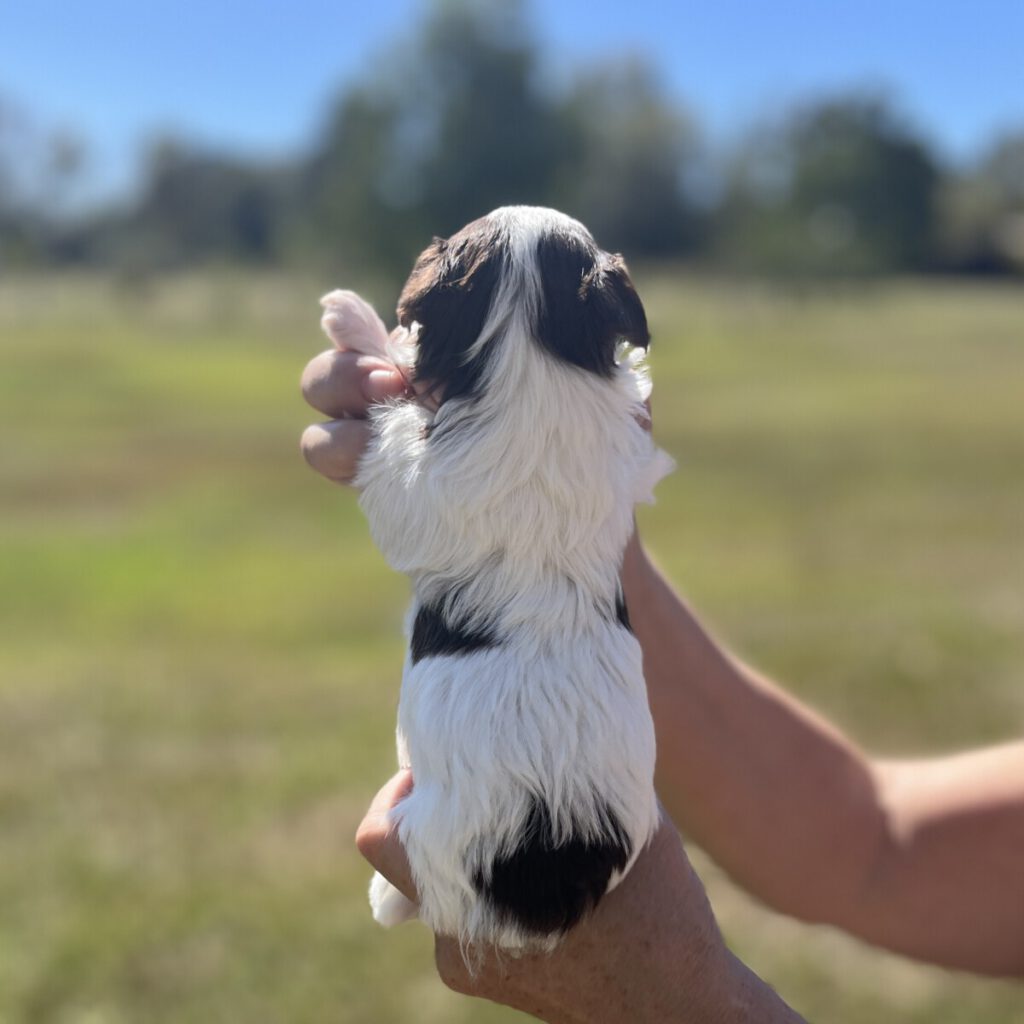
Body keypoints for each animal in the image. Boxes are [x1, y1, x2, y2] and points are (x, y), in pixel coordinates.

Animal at [321, 207, 671, 950]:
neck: (538, 367)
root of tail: (548, 878)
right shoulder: (629, 455)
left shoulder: (411, 485)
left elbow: (390, 397)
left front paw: (353, 317)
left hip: (424, 831)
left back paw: (384, 899)